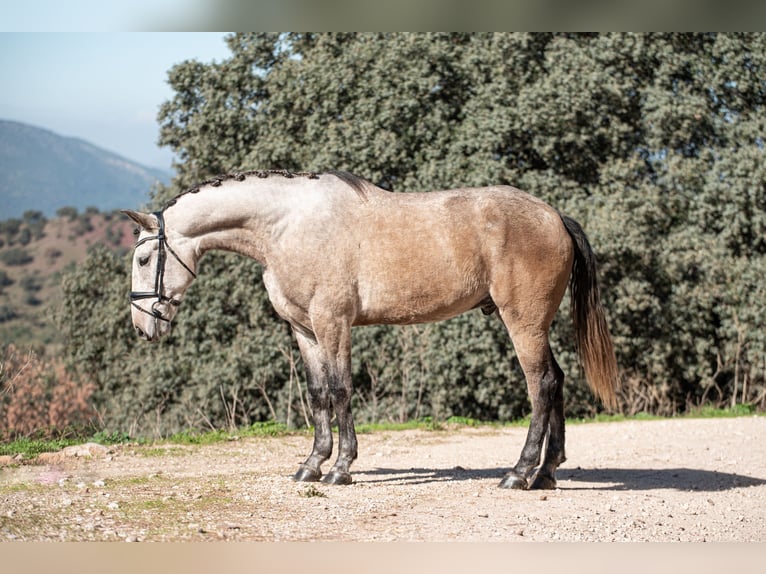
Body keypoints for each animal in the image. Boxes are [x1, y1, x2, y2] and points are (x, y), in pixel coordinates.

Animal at [123, 170, 620, 490]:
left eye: (144, 259)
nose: (144, 327)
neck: (287, 224)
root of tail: (554, 216)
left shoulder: (333, 323)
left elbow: (341, 391)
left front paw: (341, 468)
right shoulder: (304, 330)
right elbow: (318, 395)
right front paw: (312, 464)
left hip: (523, 322)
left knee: (541, 384)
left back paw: (519, 473)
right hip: (529, 323)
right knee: (556, 381)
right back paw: (547, 472)